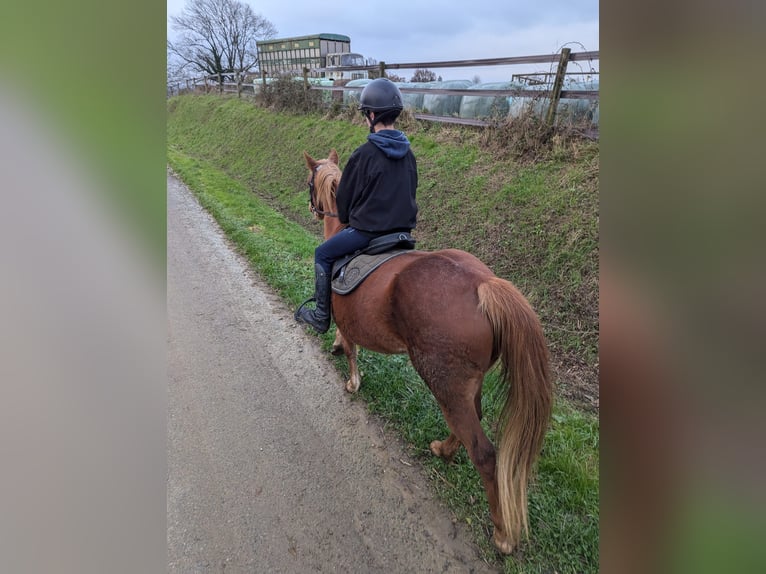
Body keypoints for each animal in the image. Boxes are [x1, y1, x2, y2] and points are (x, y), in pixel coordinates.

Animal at [300, 151, 552, 556]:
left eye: (311, 182)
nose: (311, 207)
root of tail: (484, 284)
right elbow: (347, 342)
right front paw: (339, 350)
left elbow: (352, 348)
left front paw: (352, 379)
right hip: (465, 384)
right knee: (471, 423)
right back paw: (443, 450)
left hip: (443, 382)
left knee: (484, 453)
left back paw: (501, 533)